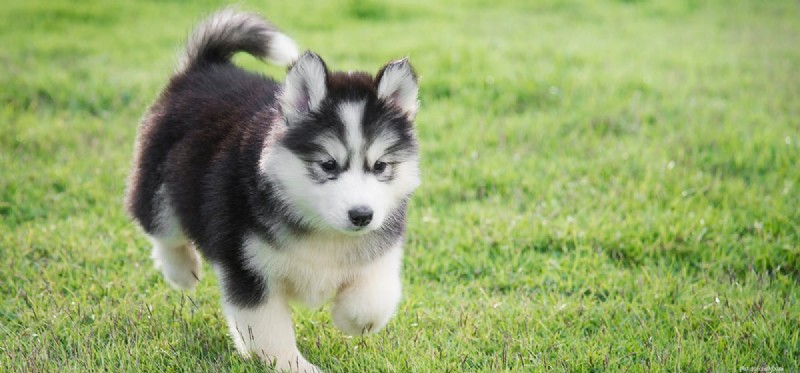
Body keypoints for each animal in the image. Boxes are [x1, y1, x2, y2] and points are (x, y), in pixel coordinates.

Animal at [125, 9, 418, 372]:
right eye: (328, 165)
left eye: (379, 166)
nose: (362, 216)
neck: (321, 232)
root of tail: (206, 67)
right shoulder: (248, 269)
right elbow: (268, 329)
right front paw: (294, 365)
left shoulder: (380, 249)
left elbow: (374, 301)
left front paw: (349, 319)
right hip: (157, 184)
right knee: (162, 229)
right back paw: (181, 271)